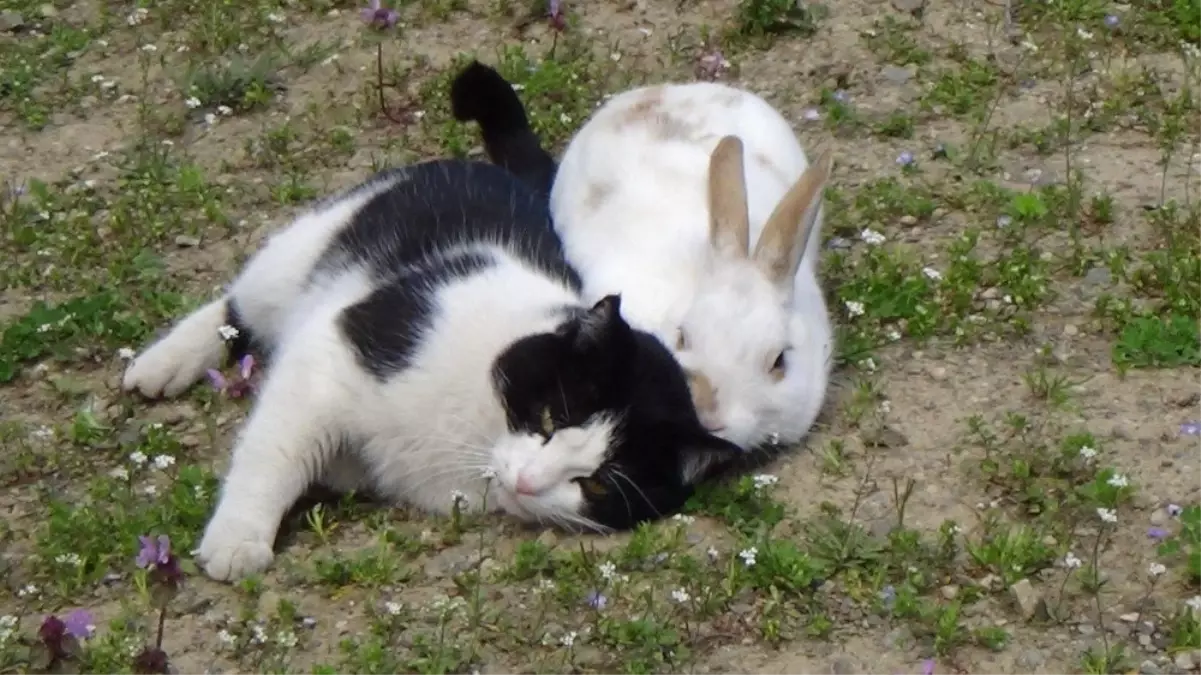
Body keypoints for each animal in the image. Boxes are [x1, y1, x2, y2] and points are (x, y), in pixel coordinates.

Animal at [119, 60, 739, 581]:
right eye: (548, 417)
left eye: (596, 483)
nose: (528, 481)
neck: (474, 428)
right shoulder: (336, 350)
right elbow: (274, 452)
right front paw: (238, 538)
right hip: (302, 253)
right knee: (236, 308)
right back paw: (163, 364)